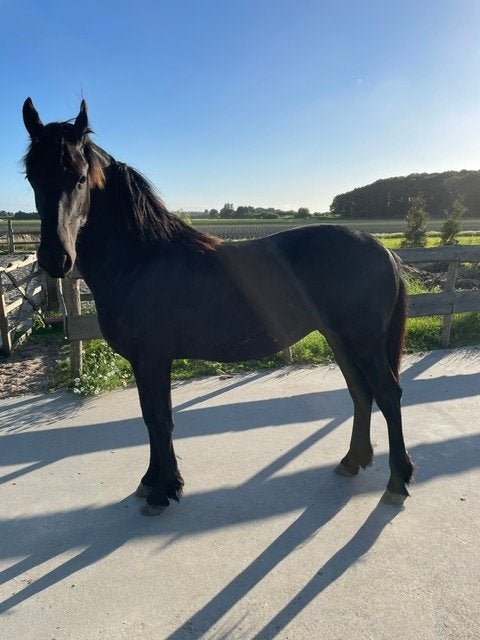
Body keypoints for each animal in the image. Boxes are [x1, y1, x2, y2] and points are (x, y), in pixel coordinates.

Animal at [22, 98, 413, 515]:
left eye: (80, 178)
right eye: (32, 177)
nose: (55, 258)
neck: (141, 259)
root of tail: (383, 250)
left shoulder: (153, 359)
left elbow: (160, 420)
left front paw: (163, 491)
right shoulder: (143, 362)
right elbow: (148, 418)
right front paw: (152, 481)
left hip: (364, 342)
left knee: (387, 394)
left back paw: (397, 482)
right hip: (338, 338)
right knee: (361, 392)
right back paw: (353, 461)